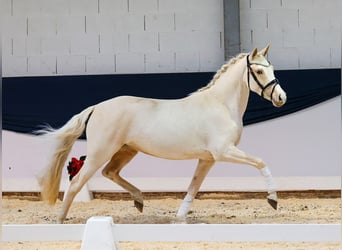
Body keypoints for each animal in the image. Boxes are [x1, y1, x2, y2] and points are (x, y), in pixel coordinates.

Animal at [38, 45, 286, 223]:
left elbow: (193, 187)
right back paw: (60, 220)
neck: (221, 105)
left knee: (110, 172)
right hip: (101, 152)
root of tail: (97, 107)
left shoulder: (207, 159)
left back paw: (139, 201)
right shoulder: (224, 152)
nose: (281, 97)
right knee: (77, 182)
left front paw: (180, 217)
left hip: (126, 151)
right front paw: (272, 200)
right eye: (259, 71)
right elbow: (260, 162)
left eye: (272, 68)